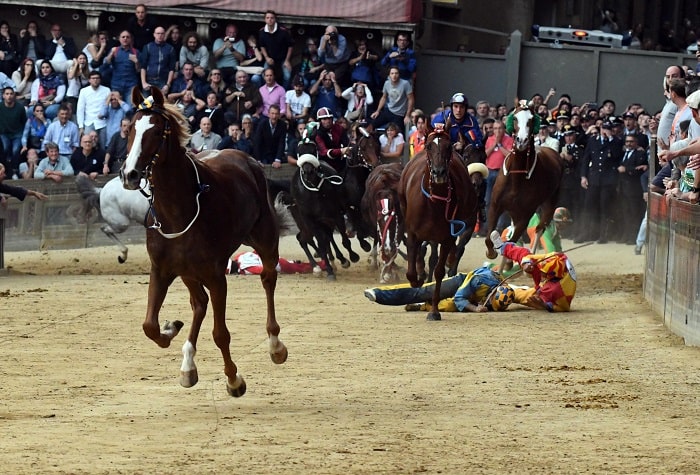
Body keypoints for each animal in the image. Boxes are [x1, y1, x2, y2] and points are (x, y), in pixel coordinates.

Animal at [120, 86, 289, 397]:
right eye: (131, 129)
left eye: (157, 131)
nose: (130, 174)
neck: (179, 210)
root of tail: (244, 158)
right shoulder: (162, 270)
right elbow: (150, 326)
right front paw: (170, 329)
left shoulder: (215, 275)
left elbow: (220, 333)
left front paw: (234, 379)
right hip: (188, 271)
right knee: (199, 303)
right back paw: (188, 364)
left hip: (265, 238)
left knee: (268, 278)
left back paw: (275, 346)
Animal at [399, 129, 478, 321]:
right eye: (429, 146)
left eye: (448, 146)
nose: (439, 172)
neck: (434, 202)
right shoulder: (412, 232)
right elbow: (412, 270)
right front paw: (419, 277)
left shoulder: (448, 235)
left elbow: (439, 270)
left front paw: (434, 311)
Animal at [484, 100, 563, 260]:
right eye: (515, 118)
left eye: (531, 119)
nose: (521, 141)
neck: (517, 177)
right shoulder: (495, 206)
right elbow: (489, 237)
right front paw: (491, 251)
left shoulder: (526, 214)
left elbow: (511, 242)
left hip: (550, 202)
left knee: (540, 227)